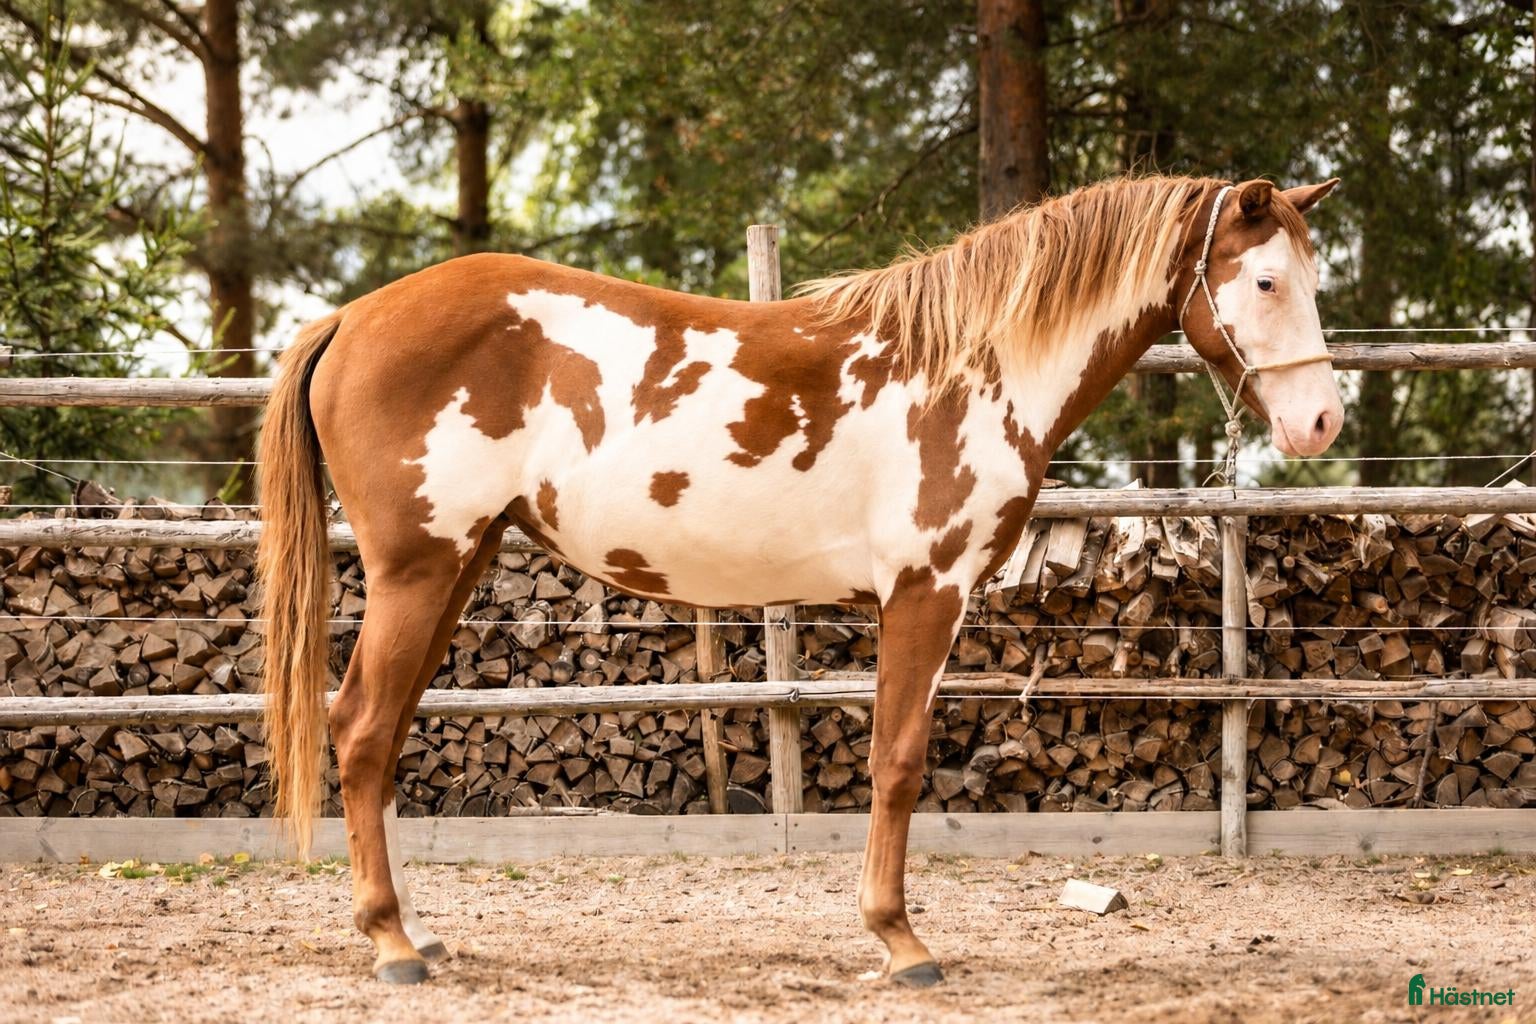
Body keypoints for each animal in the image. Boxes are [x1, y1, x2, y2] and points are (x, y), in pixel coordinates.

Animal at [255, 174, 1344, 986]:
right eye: (1264, 281)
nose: (1322, 424)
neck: (972, 369)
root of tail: (353, 318)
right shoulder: (925, 593)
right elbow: (897, 762)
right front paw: (901, 943)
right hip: (418, 569)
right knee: (360, 729)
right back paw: (392, 943)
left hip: (459, 565)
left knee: (383, 732)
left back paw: (417, 930)